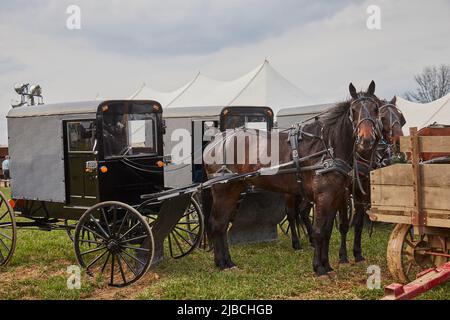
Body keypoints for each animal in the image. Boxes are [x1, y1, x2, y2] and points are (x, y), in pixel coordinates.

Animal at [204, 81, 384, 276]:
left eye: (376, 108)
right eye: (354, 110)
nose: (366, 140)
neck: (327, 146)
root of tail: (214, 142)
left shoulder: (336, 196)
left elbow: (327, 231)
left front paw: (327, 264)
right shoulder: (324, 197)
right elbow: (319, 231)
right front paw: (319, 268)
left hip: (234, 189)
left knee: (222, 225)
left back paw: (226, 262)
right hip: (224, 190)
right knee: (216, 224)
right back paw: (223, 263)